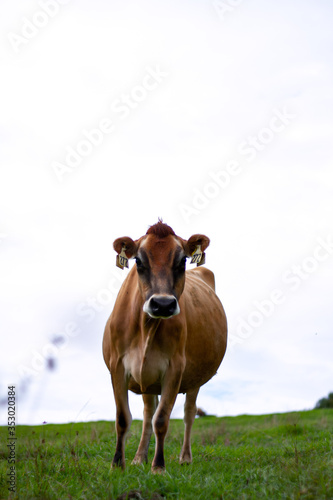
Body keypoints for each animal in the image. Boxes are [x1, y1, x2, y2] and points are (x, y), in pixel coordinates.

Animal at [102, 222, 227, 472]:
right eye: (138, 261)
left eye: (183, 261)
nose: (162, 304)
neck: (146, 328)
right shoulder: (117, 366)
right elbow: (123, 418)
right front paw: (118, 464)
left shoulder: (175, 368)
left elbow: (162, 419)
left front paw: (158, 466)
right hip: (148, 379)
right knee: (148, 411)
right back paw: (139, 457)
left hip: (195, 378)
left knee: (189, 413)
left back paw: (185, 457)